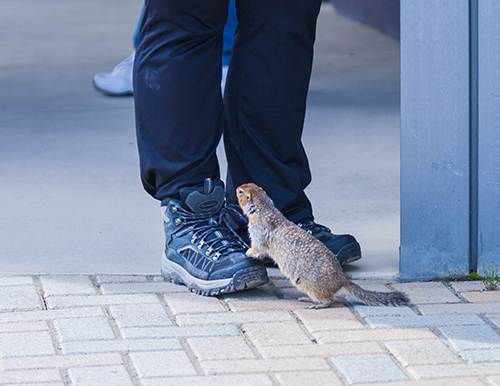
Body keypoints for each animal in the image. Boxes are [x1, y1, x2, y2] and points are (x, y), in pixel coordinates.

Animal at [236, 183, 408, 308]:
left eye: (240, 191)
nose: (236, 187)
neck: (263, 208)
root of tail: (342, 279)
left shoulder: (257, 231)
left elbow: (258, 247)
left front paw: (249, 252)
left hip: (308, 284)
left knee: (329, 300)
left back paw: (314, 303)